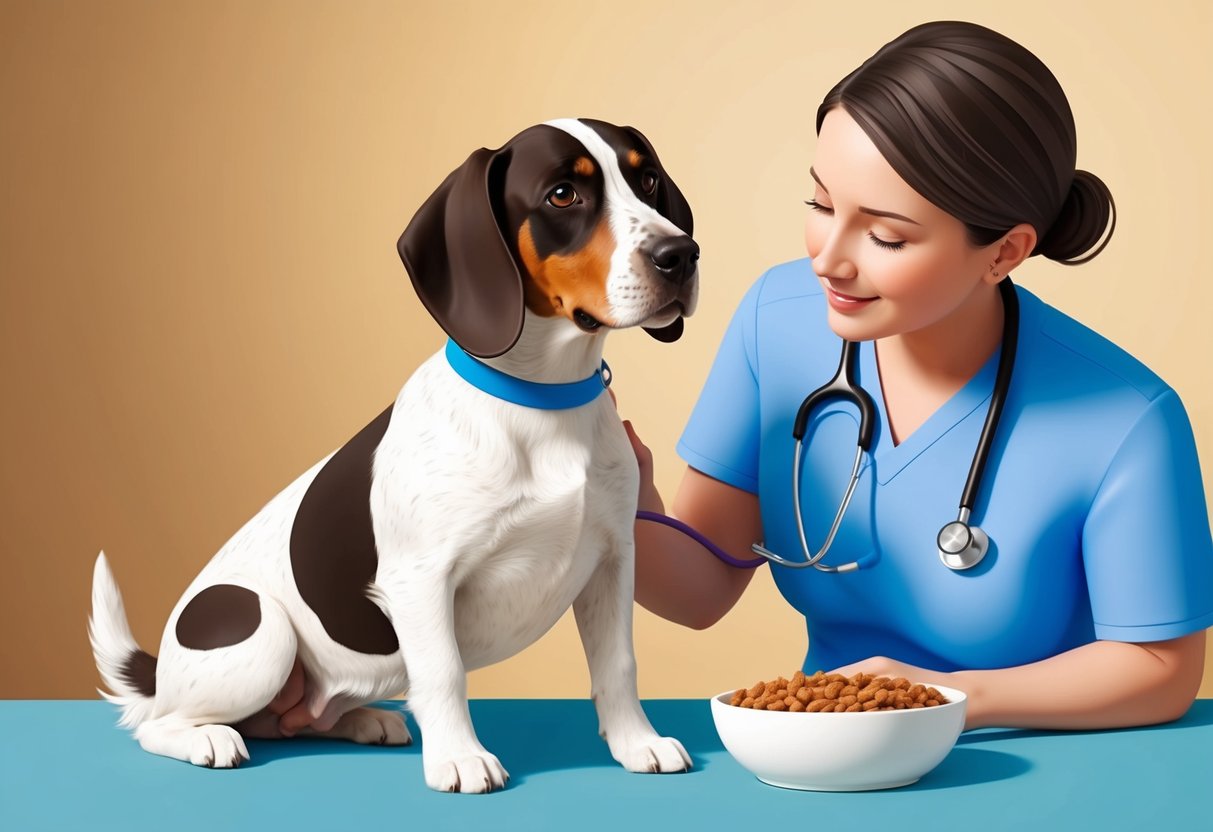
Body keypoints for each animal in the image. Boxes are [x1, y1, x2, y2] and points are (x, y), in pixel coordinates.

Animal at [87, 118, 703, 795]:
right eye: (562, 195)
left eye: (648, 179)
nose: (681, 255)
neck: (542, 402)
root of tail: (160, 668)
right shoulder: (420, 578)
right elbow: (443, 672)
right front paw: (459, 758)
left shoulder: (613, 561)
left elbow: (618, 663)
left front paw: (636, 743)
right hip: (260, 633)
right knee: (159, 723)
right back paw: (208, 739)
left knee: (288, 722)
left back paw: (363, 721)